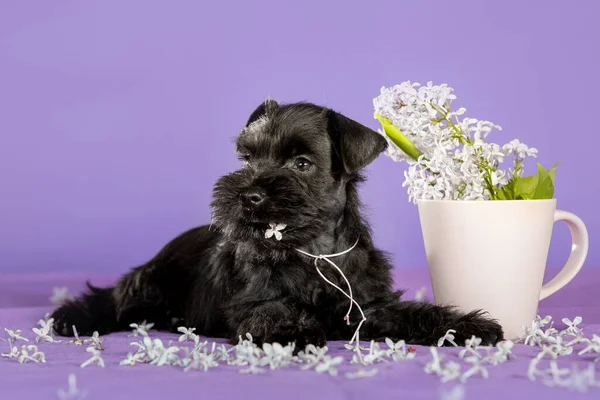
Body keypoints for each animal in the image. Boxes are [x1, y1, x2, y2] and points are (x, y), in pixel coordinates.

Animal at [51, 99, 504, 346]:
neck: (315, 252)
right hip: (148, 283)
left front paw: (467, 326)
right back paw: (72, 318)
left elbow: (415, 313)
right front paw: (294, 330)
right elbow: (271, 311)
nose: (248, 195)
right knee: (109, 298)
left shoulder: (370, 307)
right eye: (248, 158)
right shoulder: (252, 302)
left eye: (302, 163)